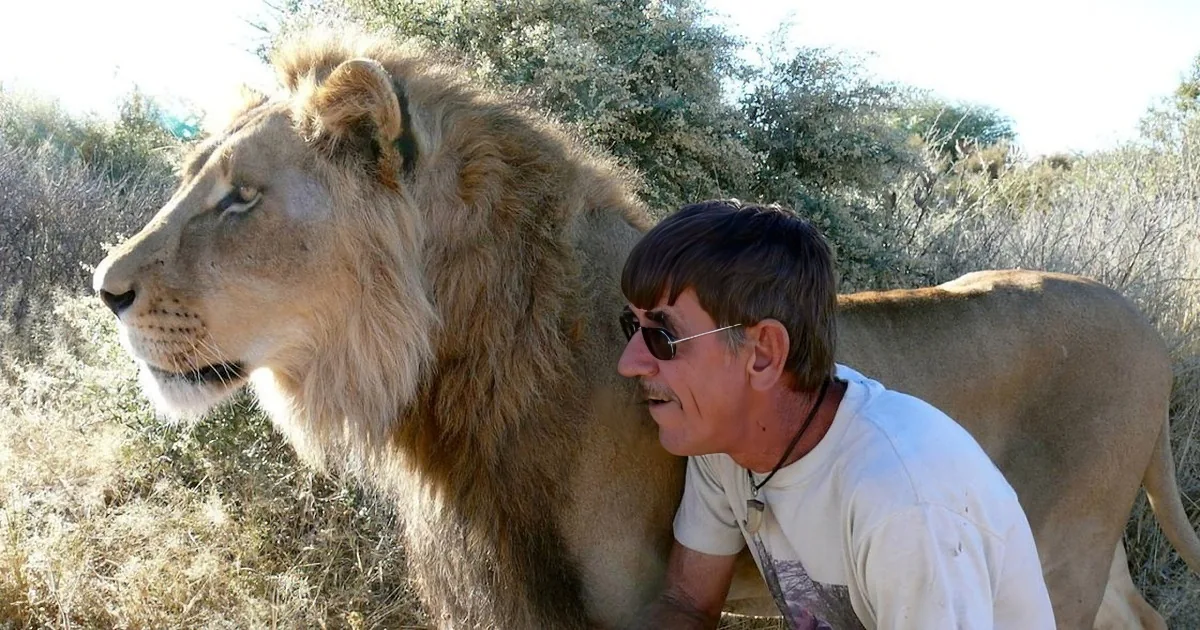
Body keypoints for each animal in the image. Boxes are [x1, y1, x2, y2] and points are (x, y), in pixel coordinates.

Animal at [91, 32, 1199, 629]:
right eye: (195, 179)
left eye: (241, 198)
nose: (103, 289)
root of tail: (1148, 328)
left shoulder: (624, 596)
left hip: (1058, 551)